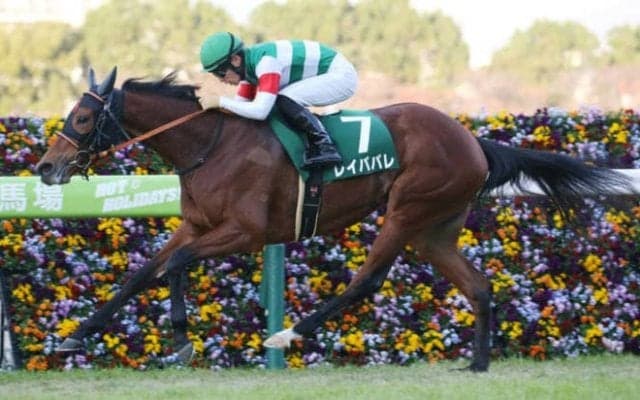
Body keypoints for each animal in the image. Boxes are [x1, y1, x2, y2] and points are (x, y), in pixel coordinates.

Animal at [35, 67, 630, 371]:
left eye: (83, 118)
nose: (45, 167)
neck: (209, 145)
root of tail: (472, 140)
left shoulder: (246, 232)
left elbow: (175, 265)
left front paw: (181, 339)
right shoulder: (197, 226)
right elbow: (143, 273)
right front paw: (72, 338)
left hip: (408, 209)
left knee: (366, 281)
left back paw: (284, 338)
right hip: (434, 228)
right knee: (479, 285)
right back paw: (478, 365)